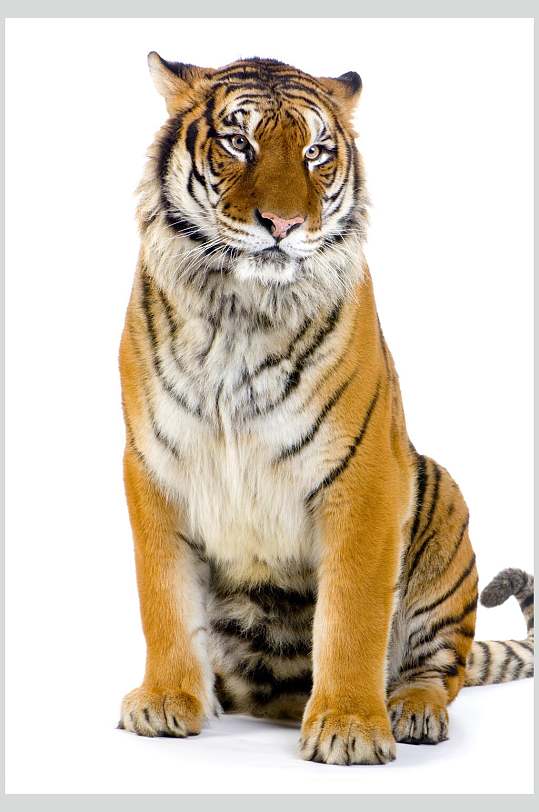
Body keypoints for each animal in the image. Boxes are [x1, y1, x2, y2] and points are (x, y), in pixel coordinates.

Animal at [117, 53, 534, 765]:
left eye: (315, 152)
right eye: (238, 142)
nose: (283, 226)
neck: (241, 310)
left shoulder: (363, 479)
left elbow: (352, 614)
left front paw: (349, 726)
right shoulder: (155, 469)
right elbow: (164, 599)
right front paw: (167, 701)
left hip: (440, 500)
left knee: (439, 666)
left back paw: (411, 711)